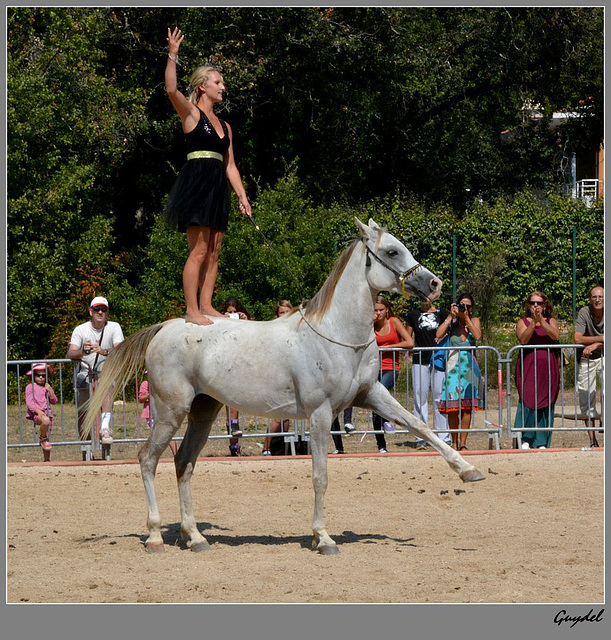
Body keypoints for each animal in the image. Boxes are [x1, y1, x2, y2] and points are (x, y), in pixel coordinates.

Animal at [83, 218, 486, 552]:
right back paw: (154, 536)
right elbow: (320, 476)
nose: (434, 284)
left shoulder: (370, 394)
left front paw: (468, 470)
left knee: (183, 462)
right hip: (171, 412)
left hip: (203, 411)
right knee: (148, 460)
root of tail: (164, 328)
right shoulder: (321, 414)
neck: (338, 335)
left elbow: (420, 425)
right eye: (391, 251)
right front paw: (323, 538)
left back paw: (195, 537)